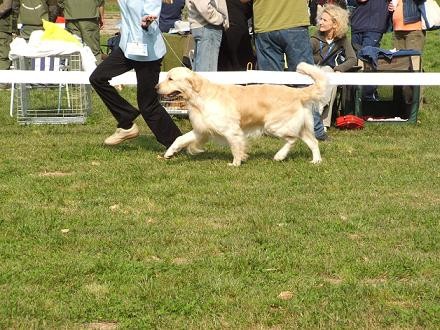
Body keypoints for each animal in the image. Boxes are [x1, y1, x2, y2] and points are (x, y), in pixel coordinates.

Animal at [156, 62, 328, 166]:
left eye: (170, 78)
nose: (155, 87)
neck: (201, 96)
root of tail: (297, 92)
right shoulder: (201, 129)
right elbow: (179, 139)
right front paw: (169, 153)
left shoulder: (231, 130)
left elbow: (235, 147)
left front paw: (235, 163)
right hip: (299, 126)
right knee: (313, 142)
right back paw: (316, 161)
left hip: (274, 125)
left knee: (292, 139)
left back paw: (279, 155)